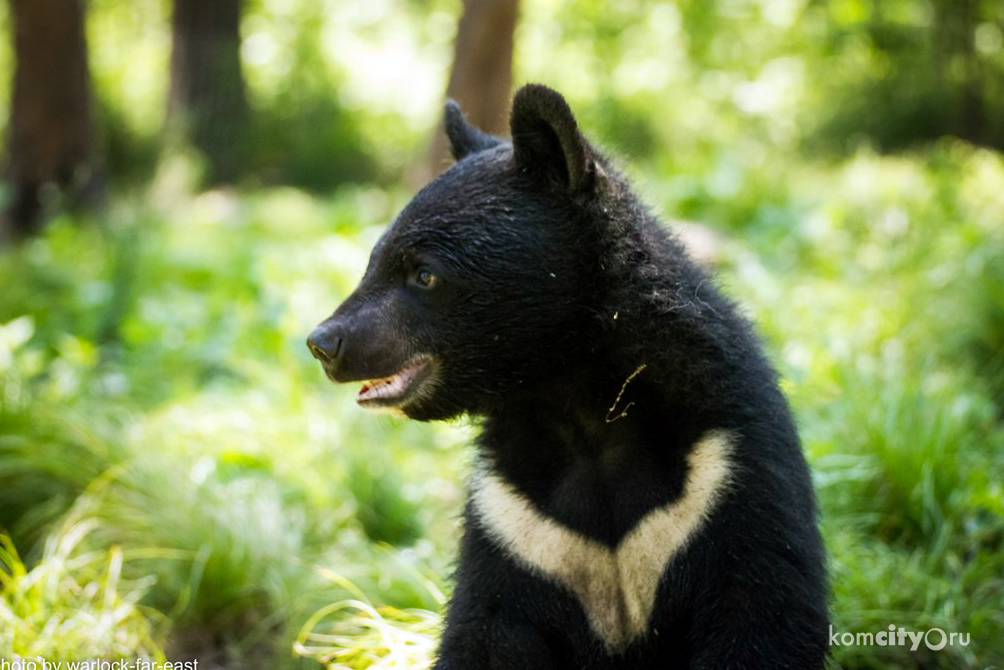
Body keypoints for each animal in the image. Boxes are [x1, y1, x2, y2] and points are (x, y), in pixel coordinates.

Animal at [309, 85, 827, 670]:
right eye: (373, 260)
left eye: (424, 274)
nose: (325, 342)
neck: (580, 401)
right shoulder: (515, 522)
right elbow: (487, 629)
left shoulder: (729, 473)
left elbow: (762, 607)